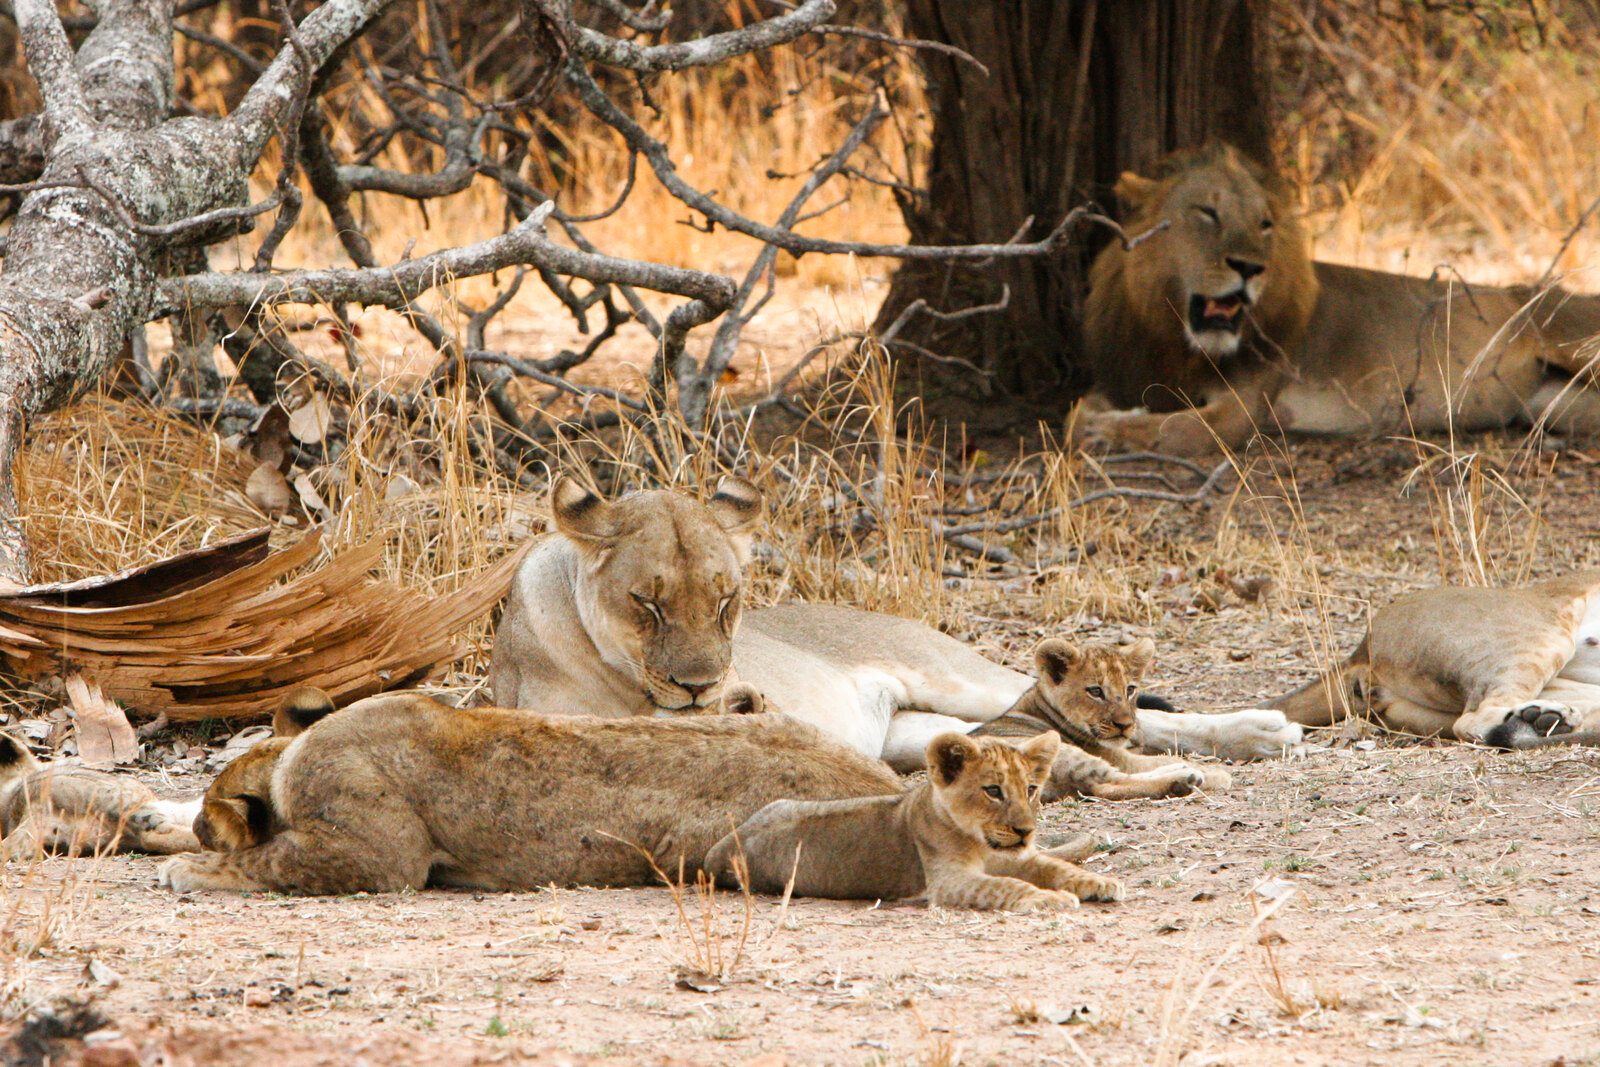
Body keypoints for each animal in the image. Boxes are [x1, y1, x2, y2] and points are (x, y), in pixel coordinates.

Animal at [158, 690, 903, 894]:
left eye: (209, 810)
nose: (196, 826)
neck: (288, 758)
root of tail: (889, 784)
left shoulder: (381, 855)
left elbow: (266, 857)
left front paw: (190, 865)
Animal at [488, 475, 1303, 769]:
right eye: (647, 603)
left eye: (726, 600)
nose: (702, 685)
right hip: (924, 731)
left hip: (958, 676)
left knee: (1139, 716)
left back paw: (1264, 729)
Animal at [705, 731, 1123, 911]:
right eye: (993, 791)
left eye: (1032, 789)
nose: (1026, 831)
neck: (980, 841)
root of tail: (717, 850)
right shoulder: (948, 882)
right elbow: (1007, 886)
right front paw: (1049, 898)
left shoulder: (1020, 857)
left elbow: (1055, 867)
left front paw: (1100, 882)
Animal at [971, 638, 1228, 800]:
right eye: (1095, 691)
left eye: (1130, 689)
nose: (1125, 725)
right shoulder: (1115, 755)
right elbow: (1154, 760)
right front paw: (1217, 773)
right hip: (1062, 751)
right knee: (1106, 784)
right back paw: (1187, 778)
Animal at [1077, 142, 1600, 457]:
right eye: (1207, 212)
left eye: (1265, 224)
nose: (1249, 268)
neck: (1173, 338)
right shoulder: (1131, 375)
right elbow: (1083, 406)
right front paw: (1093, 418)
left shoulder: (1243, 409)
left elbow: (1166, 430)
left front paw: (1105, 431)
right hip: (1552, 404)